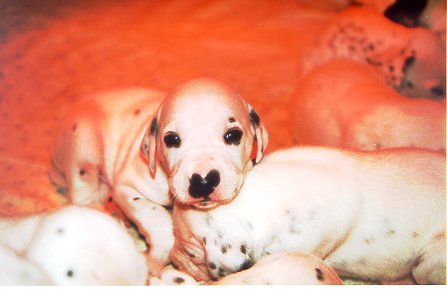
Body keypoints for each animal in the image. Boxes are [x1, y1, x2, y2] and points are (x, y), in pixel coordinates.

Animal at [50, 77, 266, 274]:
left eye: (233, 135)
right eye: (171, 139)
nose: (203, 182)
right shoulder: (128, 189)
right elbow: (157, 220)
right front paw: (154, 259)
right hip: (85, 140)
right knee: (82, 193)